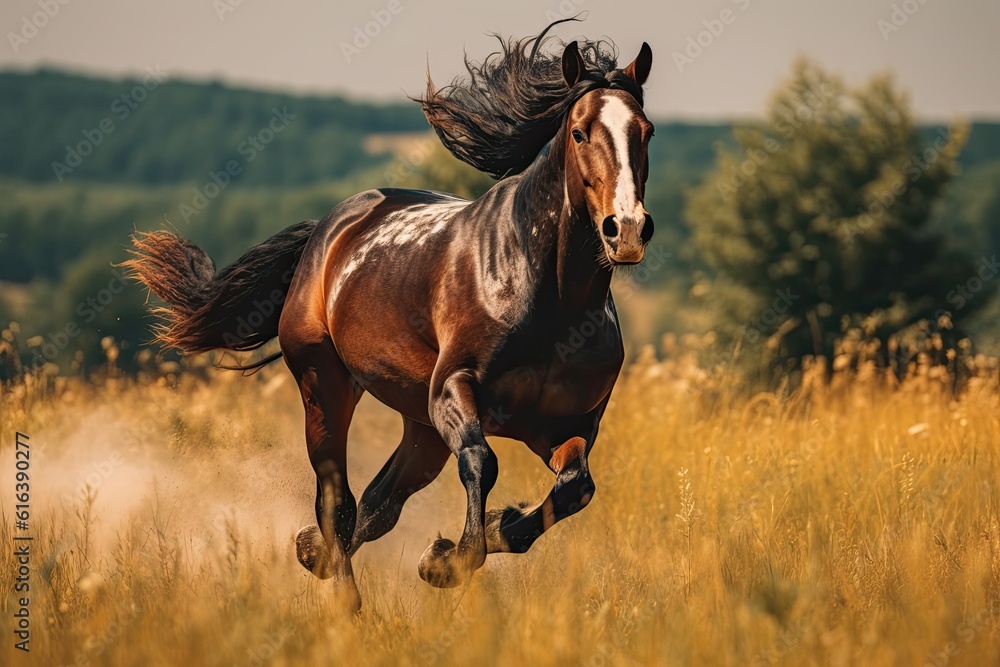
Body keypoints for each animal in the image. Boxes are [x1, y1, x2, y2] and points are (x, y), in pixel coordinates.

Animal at [125, 26, 655, 610]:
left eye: (646, 132)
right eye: (580, 133)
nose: (627, 229)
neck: (552, 299)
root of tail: (327, 230)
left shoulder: (565, 425)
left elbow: (575, 488)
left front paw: (468, 541)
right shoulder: (453, 391)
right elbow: (482, 462)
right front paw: (449, 561)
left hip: (420, 427)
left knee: (379, 505)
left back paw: (312, 554)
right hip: (326, 386)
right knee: (338, 502)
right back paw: (346, 603)